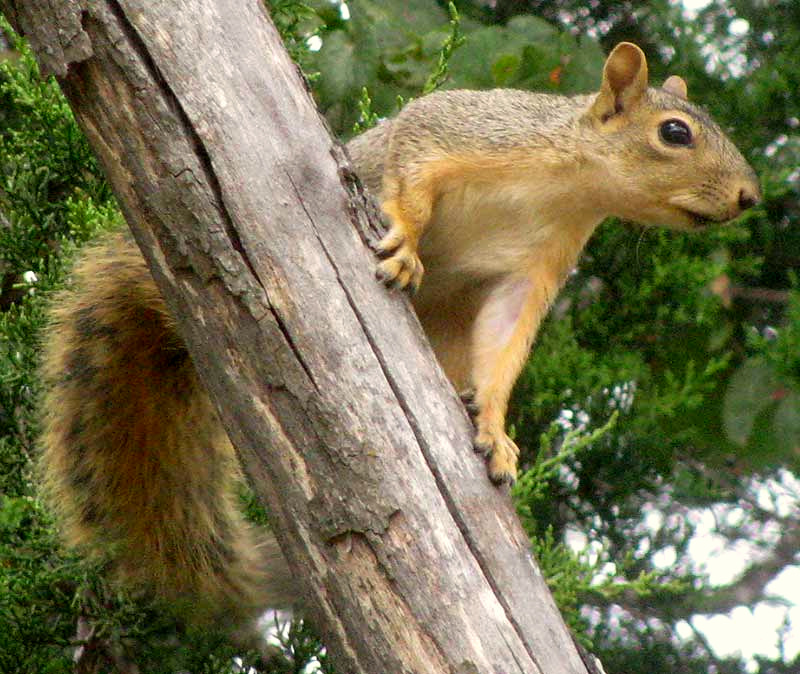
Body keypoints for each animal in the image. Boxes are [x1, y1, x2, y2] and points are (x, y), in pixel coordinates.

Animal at [40, 42, 760, 632]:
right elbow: (413, 169)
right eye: (675, 133)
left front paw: (494, 429)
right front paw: (406, 247)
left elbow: (503, 347)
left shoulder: (534, 271)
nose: (750, 197)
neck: (566, 189)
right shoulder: (464, 128)